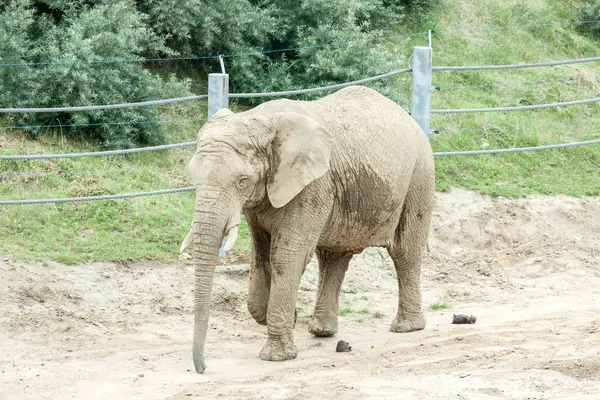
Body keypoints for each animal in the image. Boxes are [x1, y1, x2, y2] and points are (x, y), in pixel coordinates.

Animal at [179, 86, 436, 374]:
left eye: (242, 181)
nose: (202, 368)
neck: (261, 121)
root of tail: (409, 117)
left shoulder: (313, 186)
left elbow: (287, 257)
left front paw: (277, 356)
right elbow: (261, 256)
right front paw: (285, 318)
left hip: (419, 175)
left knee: (405, 251)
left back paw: (406, 328)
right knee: (334, 257)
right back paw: (322, 331)